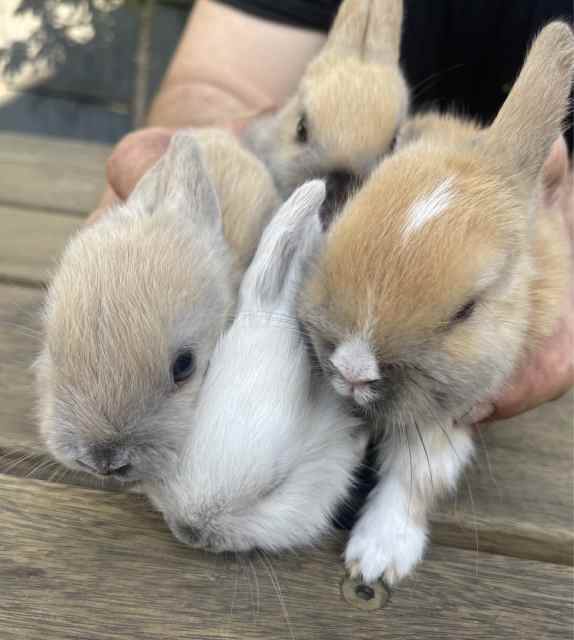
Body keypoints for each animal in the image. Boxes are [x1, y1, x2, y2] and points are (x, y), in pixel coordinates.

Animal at [297, 23, 574, 586]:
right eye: (343, 216)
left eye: (467, 310)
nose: (353, 368)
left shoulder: (455, 413)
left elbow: (417, 479)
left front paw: (377, 559)